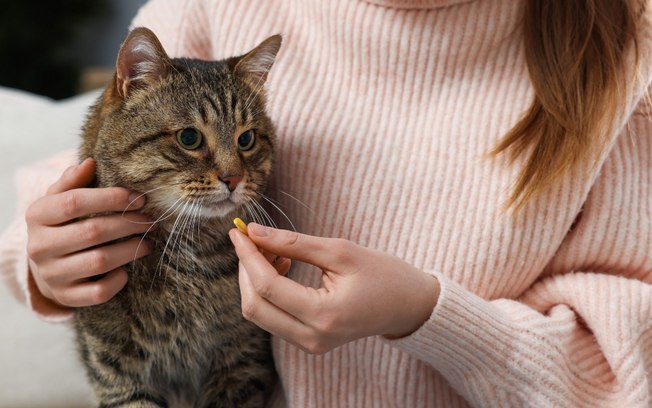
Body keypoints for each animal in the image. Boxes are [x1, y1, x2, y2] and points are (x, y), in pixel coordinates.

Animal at [74, 27, 282, 406]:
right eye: (189, 137)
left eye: (246, 139)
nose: (233, 179)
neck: (189, 253)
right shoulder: (118, 371)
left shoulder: (243, 360)